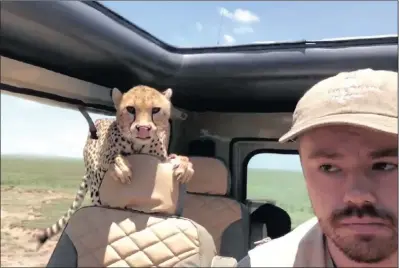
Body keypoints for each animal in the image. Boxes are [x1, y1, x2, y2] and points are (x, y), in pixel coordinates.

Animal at [35, 86, 195, 249]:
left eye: (155, 110)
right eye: (131, 109)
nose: (143, 128)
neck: (138, 145)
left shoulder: (161, 158)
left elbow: (175, 159)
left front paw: (184, 165)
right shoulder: (100, 174)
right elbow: (109, 158)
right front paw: (120, 167)